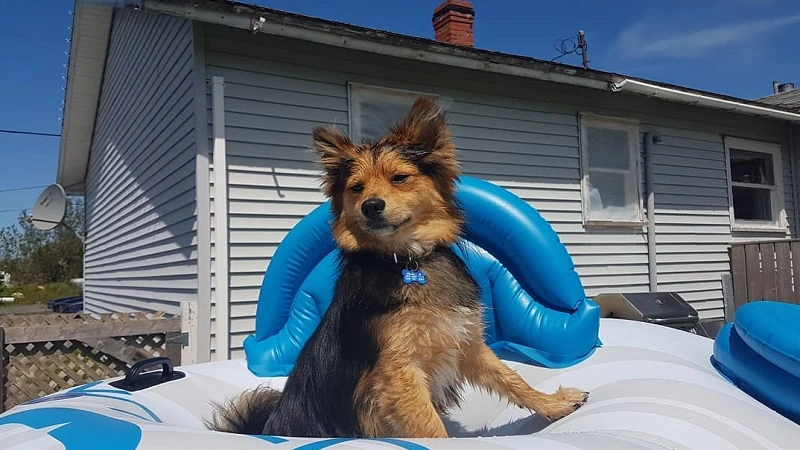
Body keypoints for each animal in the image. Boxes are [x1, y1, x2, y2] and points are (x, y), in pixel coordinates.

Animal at [209, 96, 592, 438]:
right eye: (356, 188)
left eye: (399, 178)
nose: (370, 206)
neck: (407, 259)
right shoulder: (398, 372)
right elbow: (431, 427)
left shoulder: (467, 345)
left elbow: (512, 379)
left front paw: (553, 404)